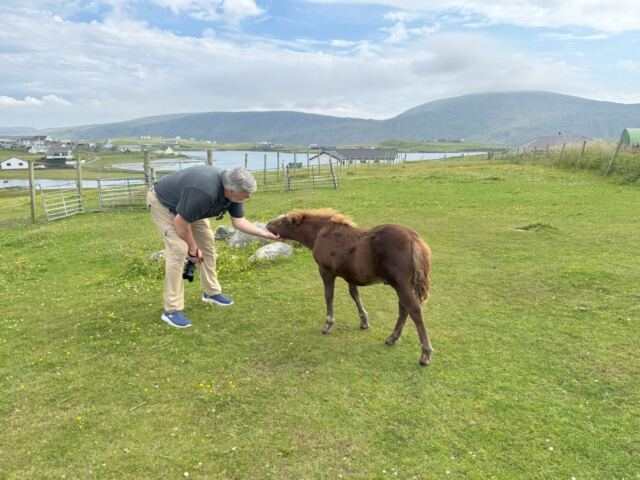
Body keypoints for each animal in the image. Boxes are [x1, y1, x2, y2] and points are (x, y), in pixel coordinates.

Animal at [266, 209, 434, 366]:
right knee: (404, 308)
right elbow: (355, 294)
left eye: (283, 220)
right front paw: (364, 321)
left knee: (414, 309)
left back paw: (425, 354)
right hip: (404, 285)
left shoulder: (326, 271)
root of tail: (414, 239)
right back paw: (392, 338)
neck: (320, 233)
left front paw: (328, 324)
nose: (268, 224)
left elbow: (329, 296)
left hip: (401, 284)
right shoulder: (350, 275)